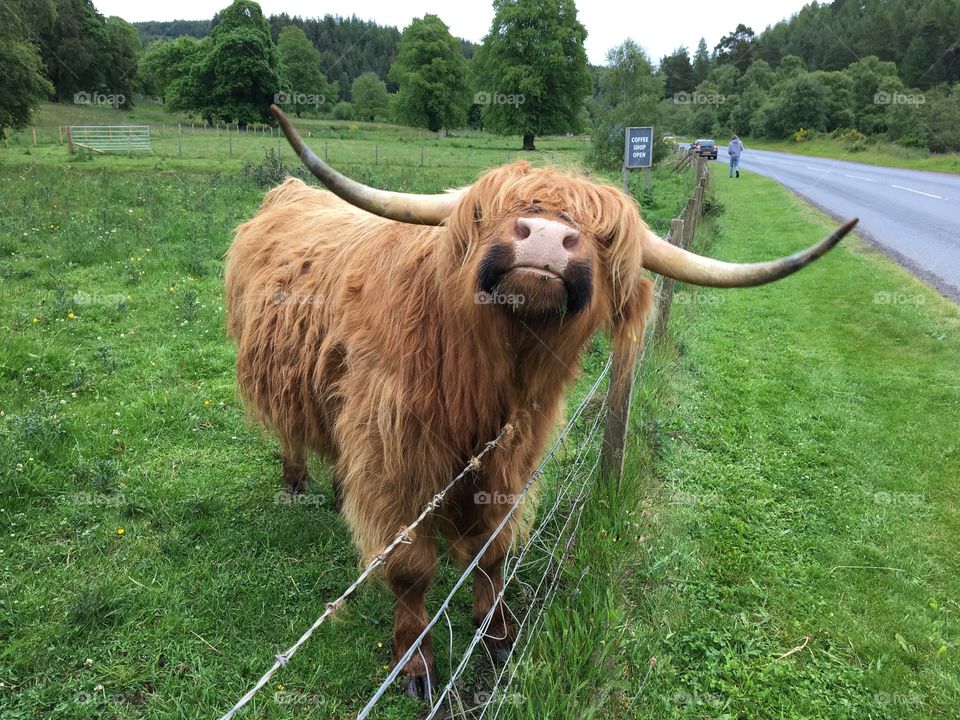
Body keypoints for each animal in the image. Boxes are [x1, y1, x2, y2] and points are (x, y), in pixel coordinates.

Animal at [225, 105, 856, 696]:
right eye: (488, 213)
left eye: (607, 237)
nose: (548, 238)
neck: (487, 384)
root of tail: (287, 192)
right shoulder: (395, 461)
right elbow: (409, 568)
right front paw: (417, 664)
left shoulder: (512, 457)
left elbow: (493, 549)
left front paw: (498, 631)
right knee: (291, 432)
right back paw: (296, 484)